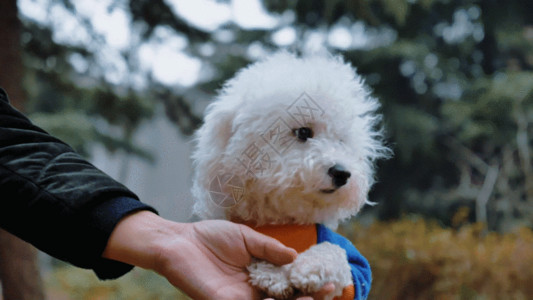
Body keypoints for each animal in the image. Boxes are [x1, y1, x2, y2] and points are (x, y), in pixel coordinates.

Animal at [190, 52, 386, 298]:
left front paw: (313, 268)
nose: (342, 173)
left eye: (341, 141)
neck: (284, 223)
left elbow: (336, 253)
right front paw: (274, 273)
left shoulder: (355, 269)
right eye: (303, 132)